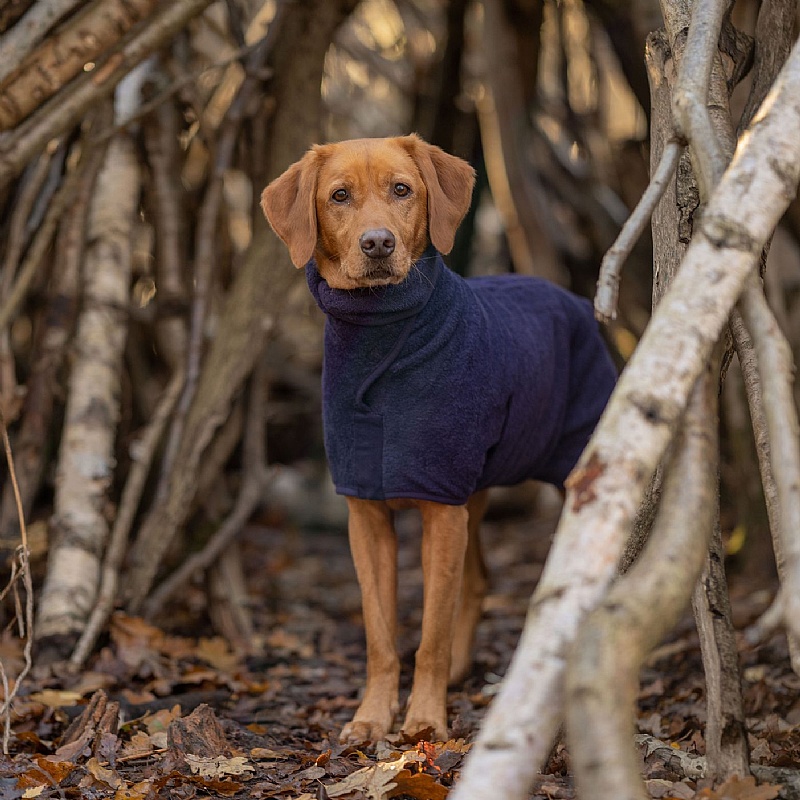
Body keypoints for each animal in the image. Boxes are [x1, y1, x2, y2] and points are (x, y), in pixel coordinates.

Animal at [260, 133, 616, 744]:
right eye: (339, 196)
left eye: (403, 190)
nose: (377, 243)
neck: (381, 339)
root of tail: (570, 297)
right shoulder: (368, 516)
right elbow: (381, 635)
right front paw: (371, 717)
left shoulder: (441, 510)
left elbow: (429, 632)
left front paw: (424, 718)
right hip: (473, 491)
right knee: (479, 581)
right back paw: (459, 669)